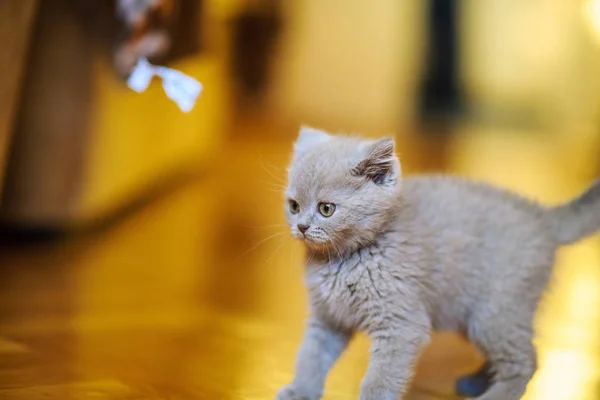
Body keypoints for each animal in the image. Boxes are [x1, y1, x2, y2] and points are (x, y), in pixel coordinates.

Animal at [276, 127, 600, 400]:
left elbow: (380, 378)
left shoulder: (401, 324)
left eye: (326, 209)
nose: (301, 227)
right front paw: (299, 391)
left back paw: (492, 395)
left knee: (526, 361)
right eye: (294, 206)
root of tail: (542, 216)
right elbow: (311, 356)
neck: (340, 261)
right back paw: (474, 383)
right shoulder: (328, 318)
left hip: (495, 310)